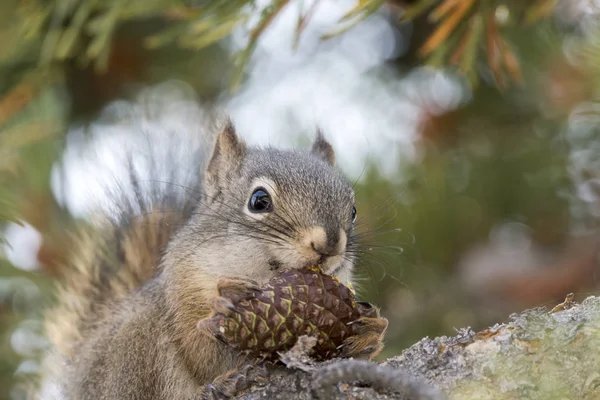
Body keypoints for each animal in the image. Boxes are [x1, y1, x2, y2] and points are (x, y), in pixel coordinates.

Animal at [39, 117, 392, 398]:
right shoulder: (183, 298)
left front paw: (369, 329)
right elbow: (202, 354)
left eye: (353, 210)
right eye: (259, 200)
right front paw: (228, 299)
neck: (261, 274)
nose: (329, 244)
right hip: (134, 350)